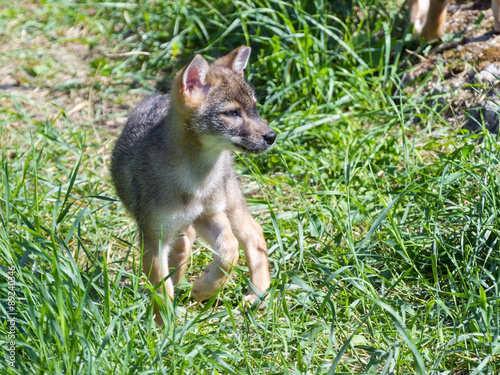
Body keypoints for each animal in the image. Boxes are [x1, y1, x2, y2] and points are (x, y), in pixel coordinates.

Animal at [111, 46, 276, 326]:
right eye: (232, 113)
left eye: (255, 109)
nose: (271, 136)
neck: (195, 181)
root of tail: (159, 96)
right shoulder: (153, 237)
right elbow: (161, 289)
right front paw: (164, 328)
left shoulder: (212, 214)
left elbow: (230, 249)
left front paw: (204, 288)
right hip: (187, 225)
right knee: (184, 246)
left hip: (227, 206)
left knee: (253, 234)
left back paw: (257, 294)